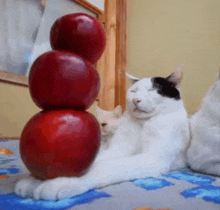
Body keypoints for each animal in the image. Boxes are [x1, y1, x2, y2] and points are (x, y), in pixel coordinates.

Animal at [14, 65, 190, 200]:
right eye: (133, 91)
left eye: (153, 90)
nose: (135, 100)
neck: (143, 124)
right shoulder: (119, 149)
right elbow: (99, 160)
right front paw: (33, 179)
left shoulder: (153, 157)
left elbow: (105, 167)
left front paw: (62, 182)